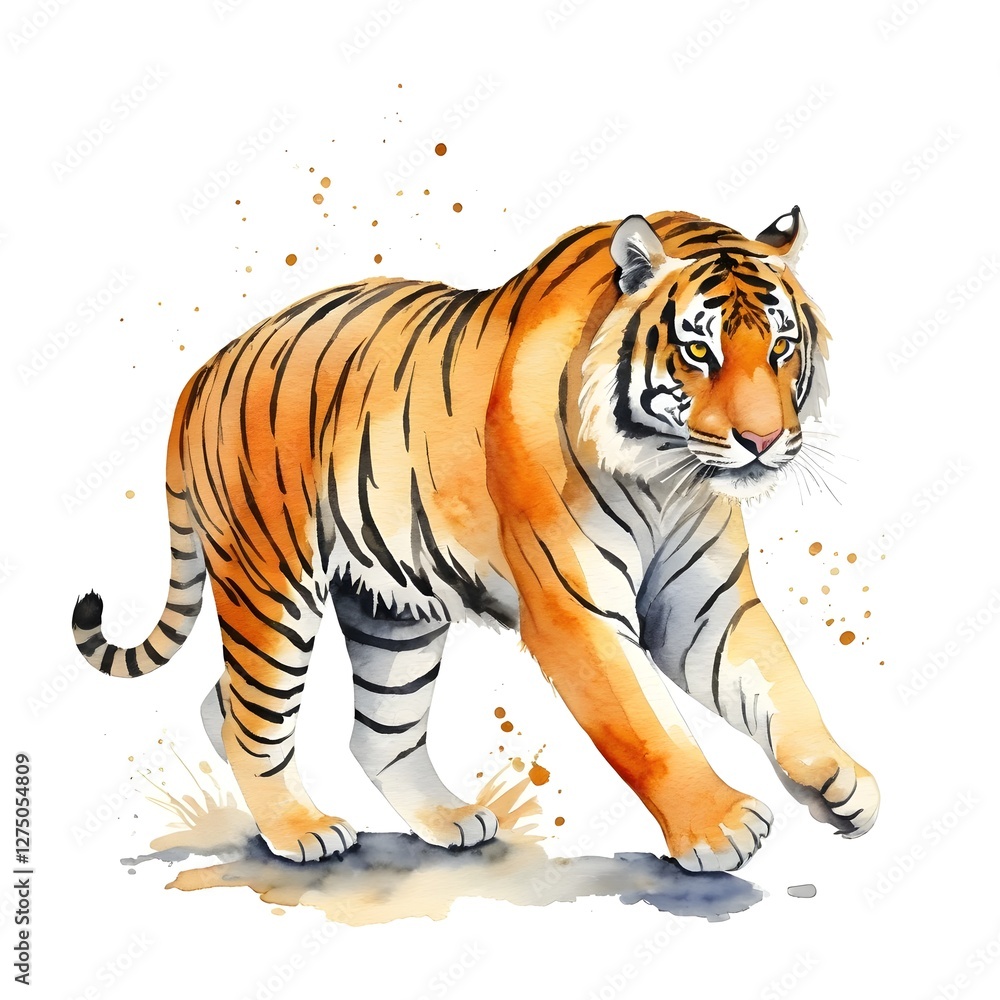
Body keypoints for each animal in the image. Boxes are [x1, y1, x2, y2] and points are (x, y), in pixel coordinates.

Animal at [72, 206, 879, 872]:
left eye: (780, 347)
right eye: (699, 352)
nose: (763, 441)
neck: (666, 473)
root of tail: (207, 370)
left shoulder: (704, 606)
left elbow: (780, 684)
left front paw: (842, 782)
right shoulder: (574, 609)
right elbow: (646, 725)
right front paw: (718, 826)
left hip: (392, 611)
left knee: (362, 730)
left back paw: (446, 820)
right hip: (269, 580)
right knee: (250, 717)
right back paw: (300, 829)